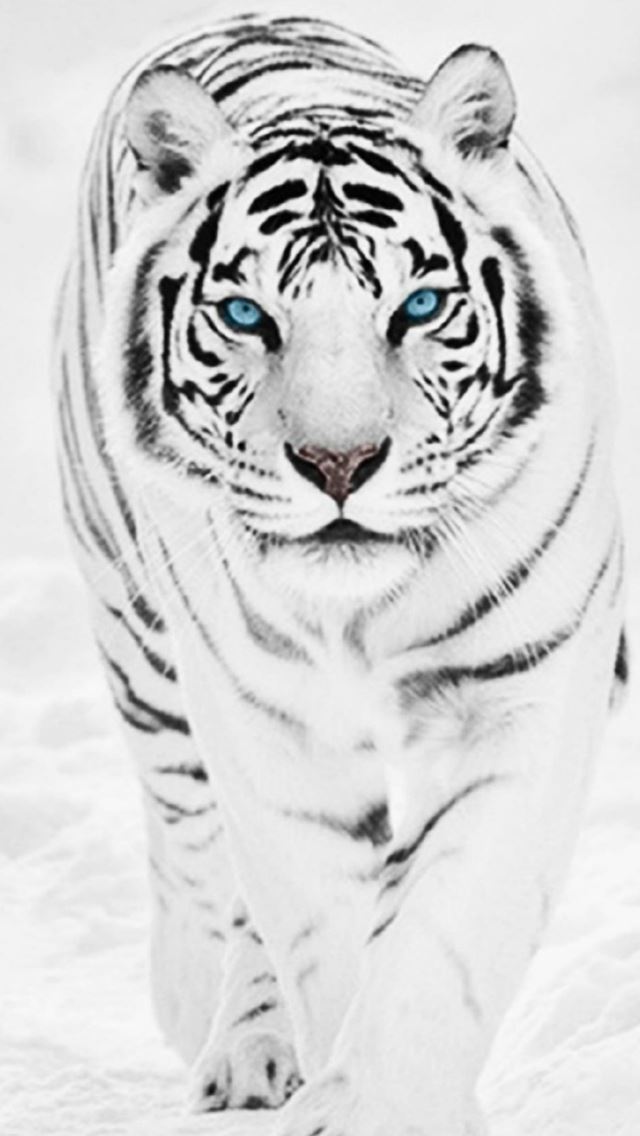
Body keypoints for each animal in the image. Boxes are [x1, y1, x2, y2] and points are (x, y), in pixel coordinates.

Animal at [52, 13, 626, 1136]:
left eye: (420, 306)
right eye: (245, 315)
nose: (338, 463)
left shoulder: (516, 693)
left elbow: (438, 939)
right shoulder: (269, 724)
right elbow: (317, 919)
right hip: (138, 633)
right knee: (189, 832)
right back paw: (219, 1025)